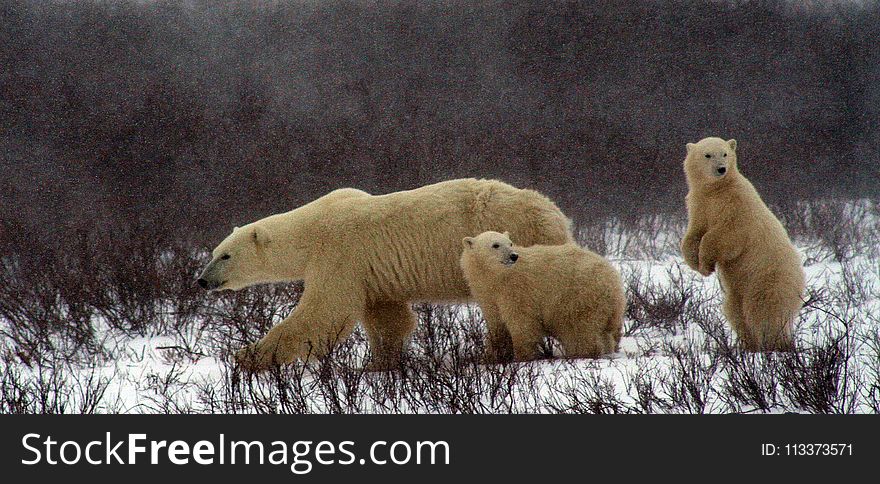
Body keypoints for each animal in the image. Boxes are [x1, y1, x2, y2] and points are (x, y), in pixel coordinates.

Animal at [196, 178, 576, 370]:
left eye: (225, 255)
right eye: (213, 253)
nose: (201, 280)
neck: (311, 228)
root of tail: (555, 215)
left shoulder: (339, 252)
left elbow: (324, 313)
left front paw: (248, 356)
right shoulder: (370, 271)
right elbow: (387, 317)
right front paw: (380, 362)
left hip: (516, 241)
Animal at [458, 232, 624, 364]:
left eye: (510, 243)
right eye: (495, 245)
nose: (513, 256)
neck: (498, 277)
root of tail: (615, 281)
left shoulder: (517, 290)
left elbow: (522, 322)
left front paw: (522, 357)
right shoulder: (488, 295)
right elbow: (496, 324)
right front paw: (490, 357)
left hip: (579, 296)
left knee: (579, 331)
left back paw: (582, 353)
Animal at [680, 138, 804, 350]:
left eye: (725, 153)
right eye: (707, 154)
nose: (721, 169)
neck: (717, 190)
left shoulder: (737, 205)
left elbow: (725, 236)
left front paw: (706, 264)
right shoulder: (699, 205)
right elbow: (693, 234)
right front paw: (695, 263)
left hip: (768, 278)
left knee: (764, 310)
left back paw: (774, 344)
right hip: (737, 290)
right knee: (735, 311)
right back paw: (746, 345)